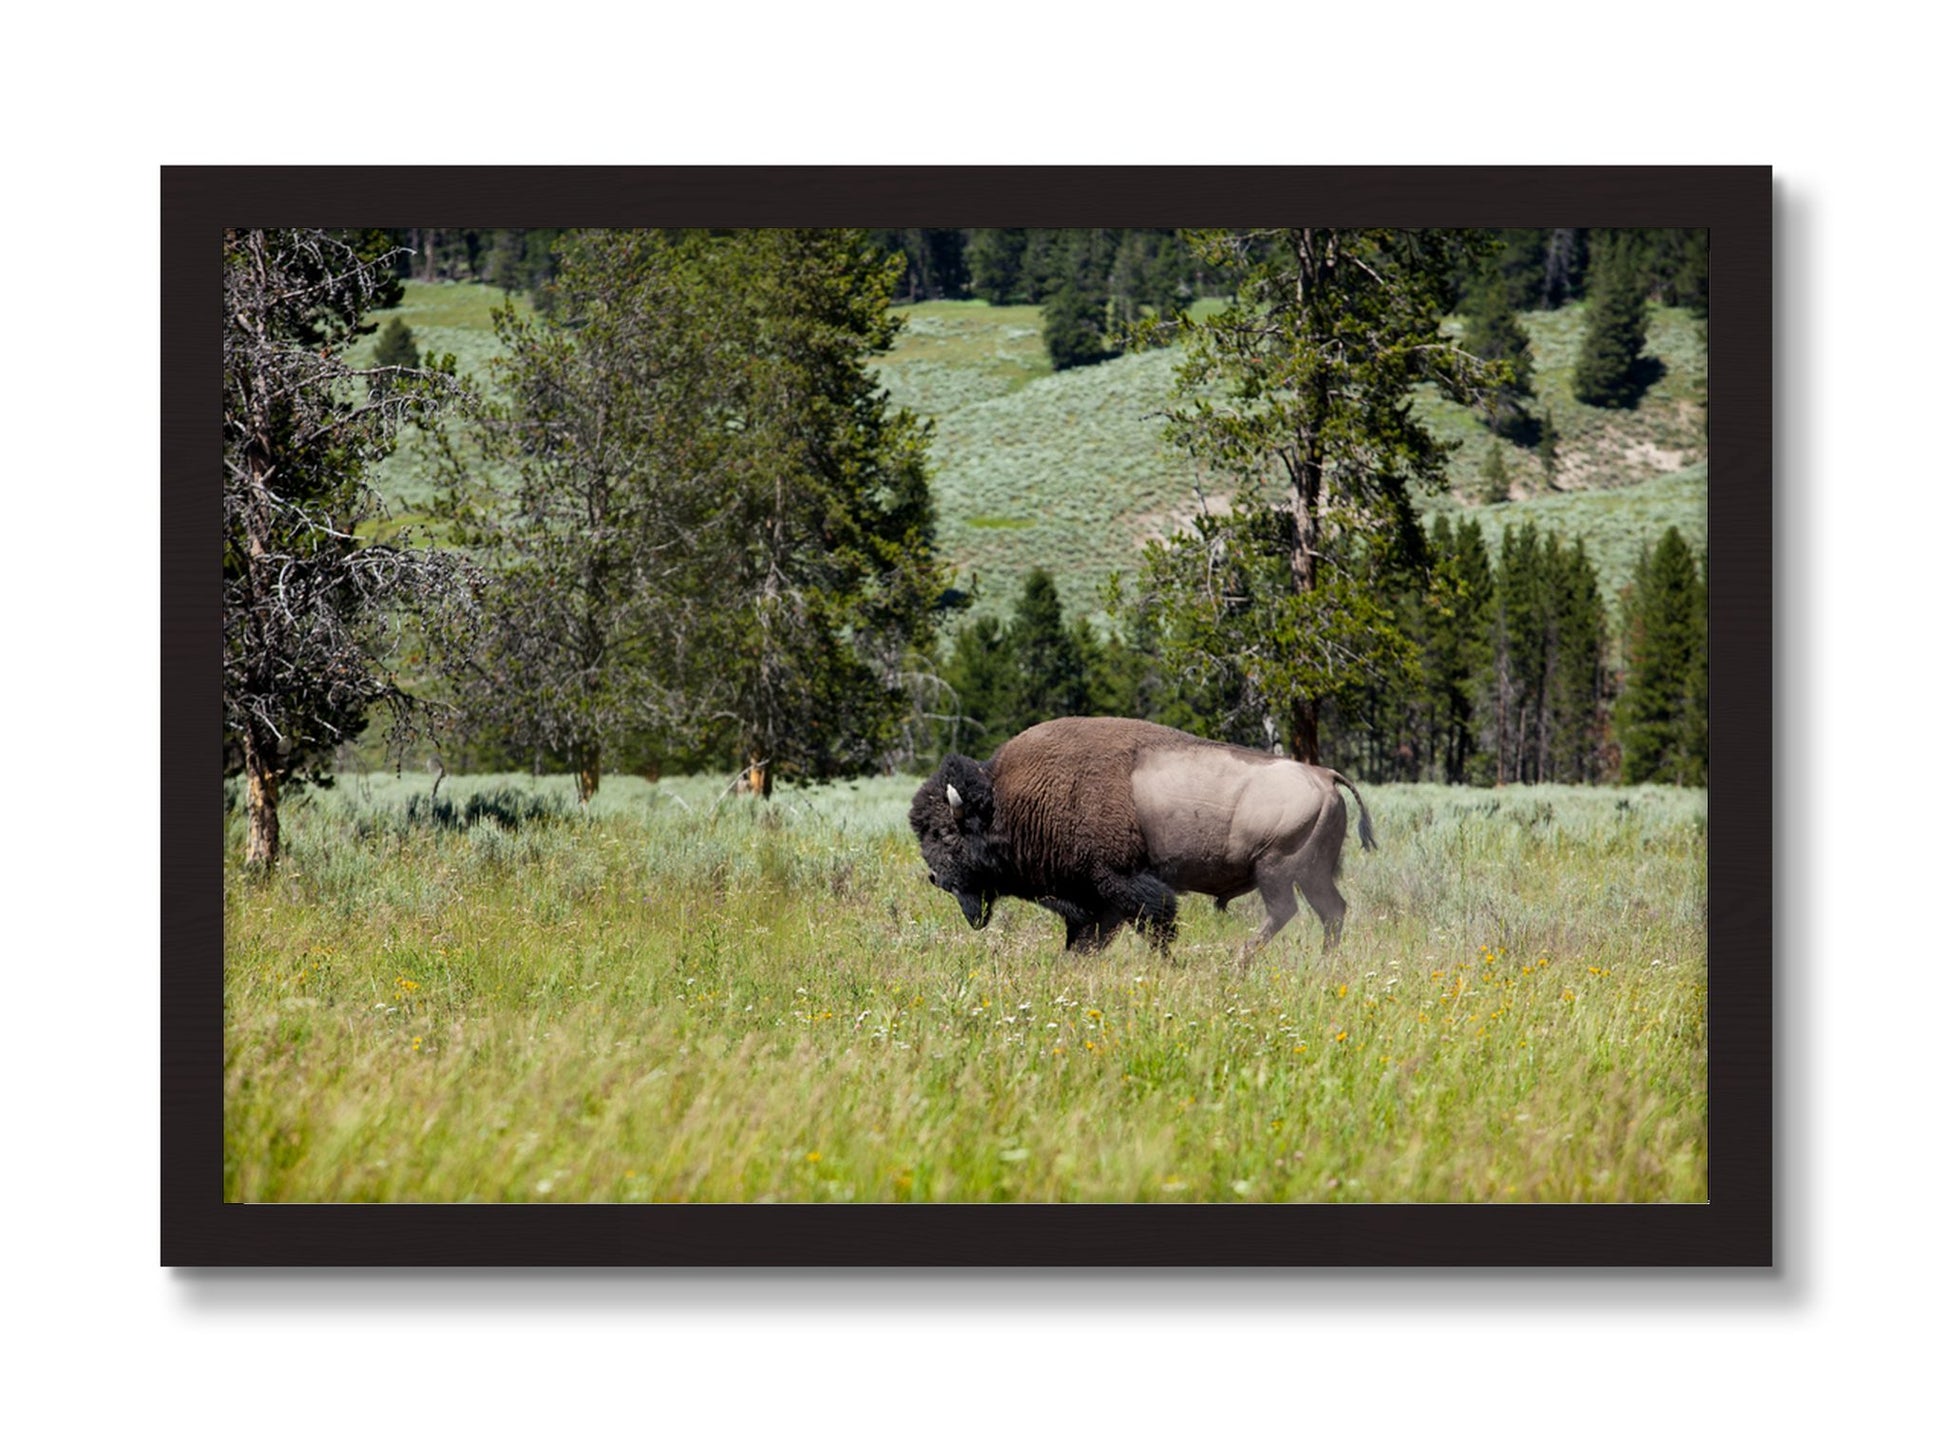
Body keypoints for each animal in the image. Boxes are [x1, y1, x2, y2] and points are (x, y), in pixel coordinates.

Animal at [909, 716, 1375, 959]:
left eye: (947, 834)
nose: (936, 878)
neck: (1008, 800)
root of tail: (1323, 775)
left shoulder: (1120, 883)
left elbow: (1155, 924)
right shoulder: (1093, 899)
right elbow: (1088, 938)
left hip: (1276, 870)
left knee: (1285, 912)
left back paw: (1238, 962)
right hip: (1312, 874)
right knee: (1331, 911)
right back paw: (1322, 962)